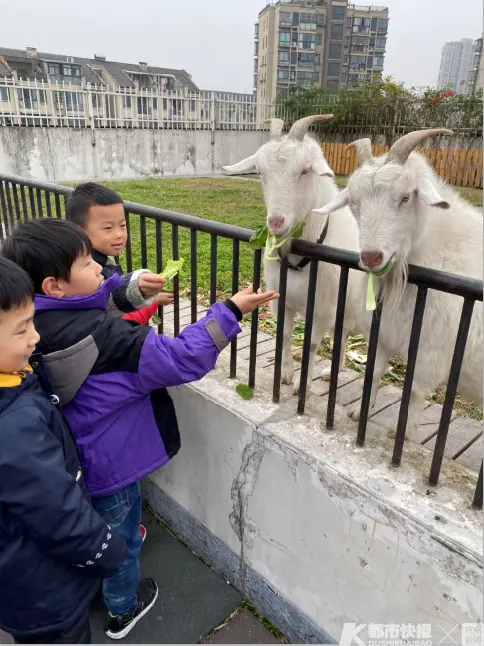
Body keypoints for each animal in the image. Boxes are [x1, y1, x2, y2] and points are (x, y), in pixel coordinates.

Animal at [223, 114, 366, 392]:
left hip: (348, 309)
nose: (276, 222)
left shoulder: (323, 309)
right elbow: (286, 334)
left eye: (304, 170)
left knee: (341, 337)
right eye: (261, 172)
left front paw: (303, 384)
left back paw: (332, 372)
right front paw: (286, 374)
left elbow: (311, 344)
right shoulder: (281, 300)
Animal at [316, 128, 482, 440]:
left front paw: (401, 432)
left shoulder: (432, 353)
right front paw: (359, 412)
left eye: (406, 197)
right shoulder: (384, 335)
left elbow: (414, 391)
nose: (371, 256)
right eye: (354, 204)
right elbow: (374, 371)